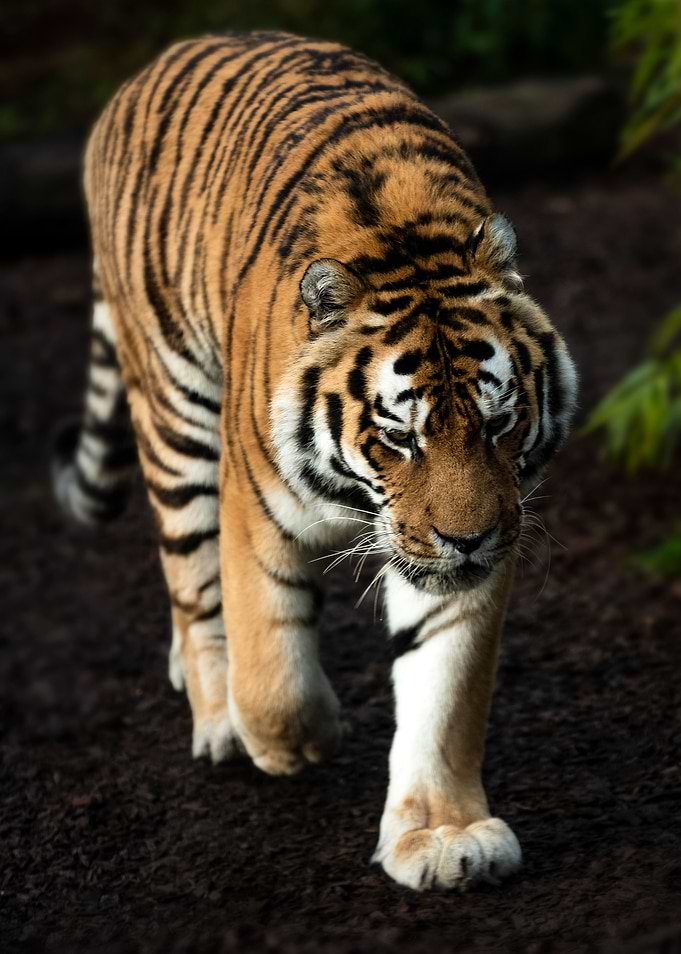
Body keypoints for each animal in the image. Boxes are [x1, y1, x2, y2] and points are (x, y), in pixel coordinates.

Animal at [53, 31, 578, 892]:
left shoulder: (467, 548)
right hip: (175, 410)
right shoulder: (254, 506)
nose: (468, 540)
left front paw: (443, 837)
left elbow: (444, 691)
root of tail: (160, 59)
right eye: (399, 438)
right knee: (191, 578)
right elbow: (272, 666)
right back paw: (217, 715)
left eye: (499, 424)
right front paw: (295, 741)